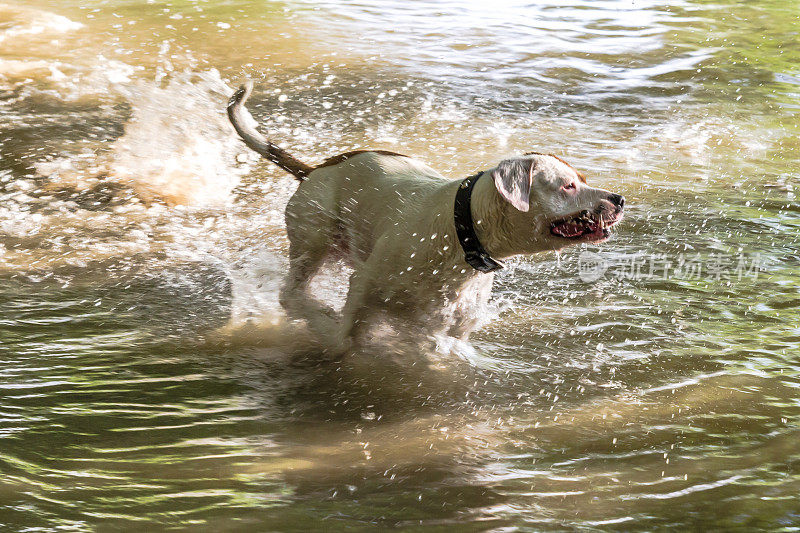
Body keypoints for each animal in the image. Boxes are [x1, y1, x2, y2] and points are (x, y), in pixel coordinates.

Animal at [227, 83, 624, 356]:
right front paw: (329, 328)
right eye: (568, 185)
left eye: (583, 180)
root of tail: (315, 170)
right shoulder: (364, 286)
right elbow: (343, 340)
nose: (620, 200)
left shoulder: (451, 327)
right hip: (313, 240)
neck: (461, 234)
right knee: (291, 293)